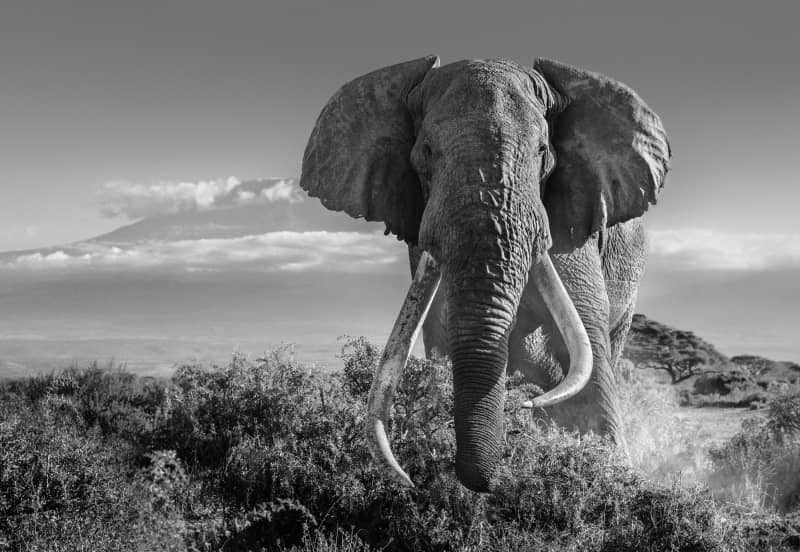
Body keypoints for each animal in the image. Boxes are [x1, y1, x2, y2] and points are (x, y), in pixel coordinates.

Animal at [299, 56, 670, 492]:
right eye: (425, 153)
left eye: (542, 151)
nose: (489, 483)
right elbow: (444, 331)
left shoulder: (570, 225)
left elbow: (584, 343)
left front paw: (613, 473)